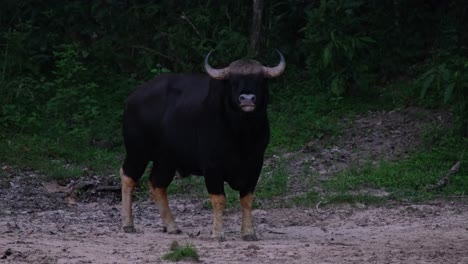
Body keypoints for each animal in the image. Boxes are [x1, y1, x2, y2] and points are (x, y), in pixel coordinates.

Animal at [120, 50, 286, 241]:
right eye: (233, 81)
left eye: (260, 80)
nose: (247, 98)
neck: (241, 134)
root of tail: (133, 98)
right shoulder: (212, 166)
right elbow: (219, 199)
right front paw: (218, 233)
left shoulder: (255, 164)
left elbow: (247, 199)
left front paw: (249, 232)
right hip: (137, 151)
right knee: (128, 177)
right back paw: (128, 224)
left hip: (166, 160)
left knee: (157, 184)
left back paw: (171, 226)